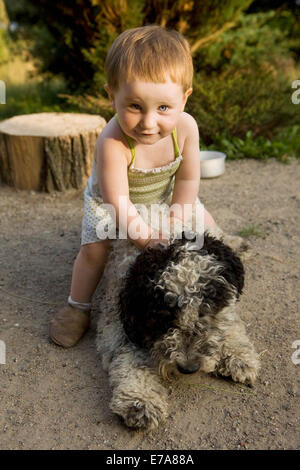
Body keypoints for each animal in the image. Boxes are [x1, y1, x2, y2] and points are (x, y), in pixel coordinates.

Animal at [96, 222, 260, 428]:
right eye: (162, 319)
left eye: (204, 311)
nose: (189, 368)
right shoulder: (120, 325)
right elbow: (132, 360)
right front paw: (140, 400)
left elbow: (229, 323)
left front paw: (238, 356)